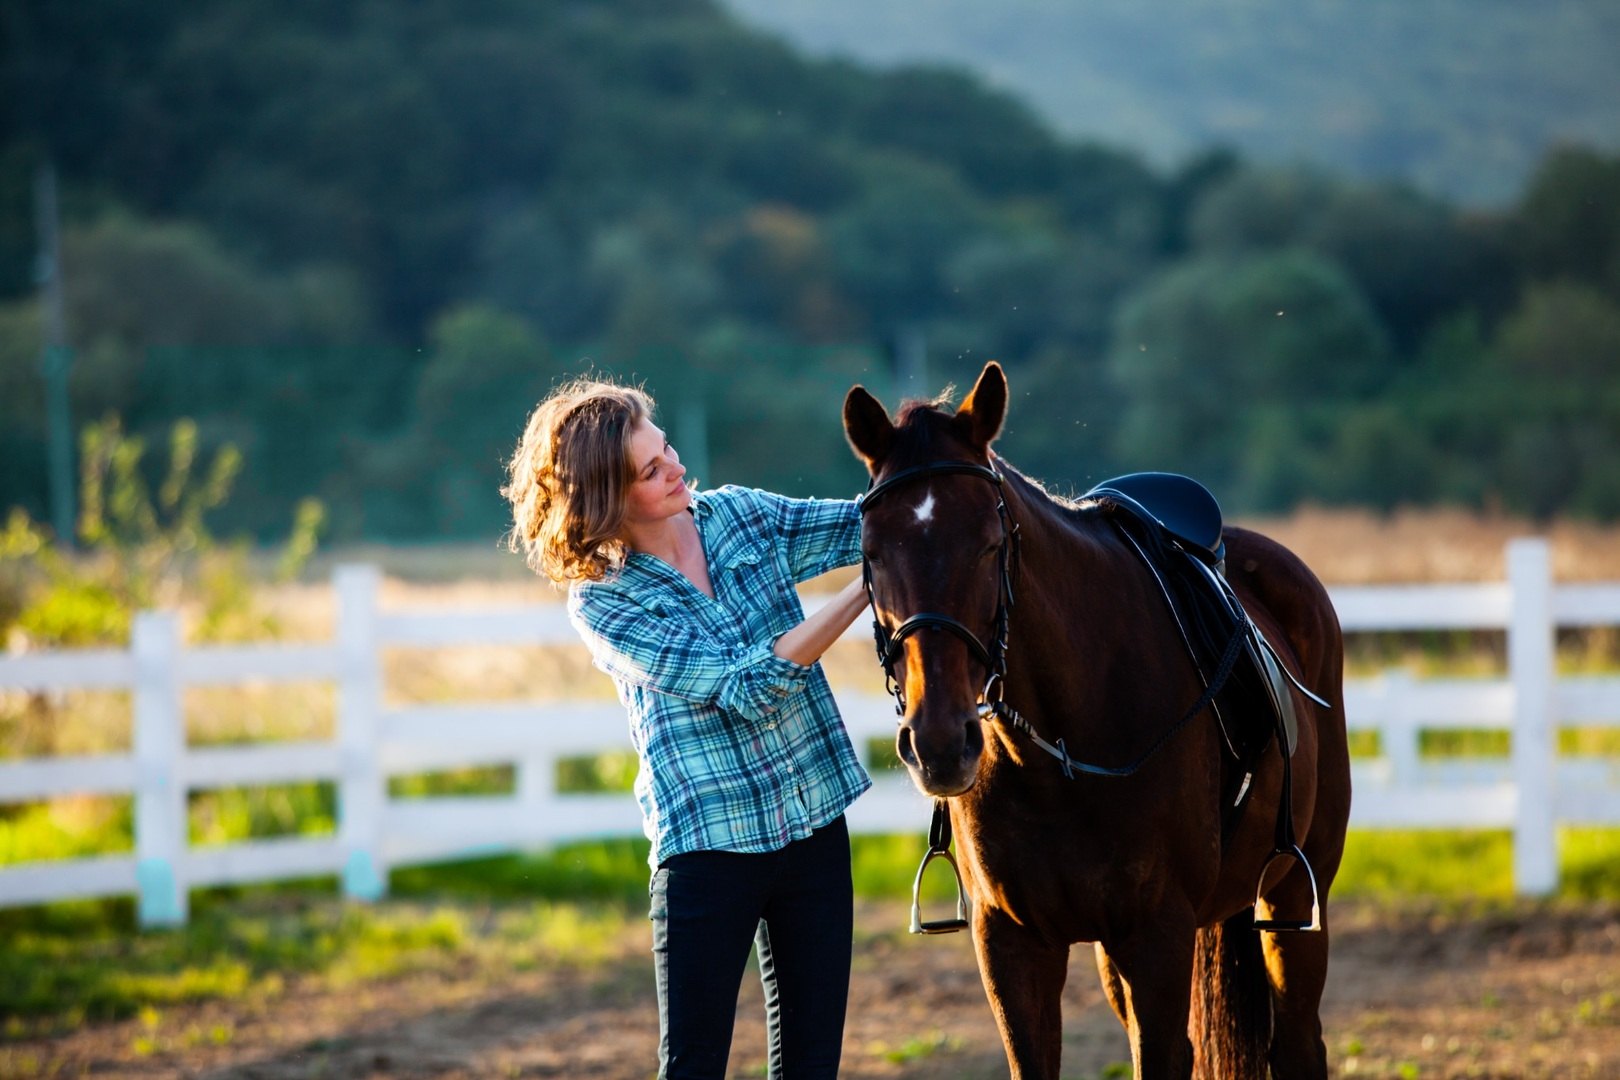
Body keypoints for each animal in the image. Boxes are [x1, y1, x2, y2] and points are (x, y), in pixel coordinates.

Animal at [843, 362, 1351, 1079]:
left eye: (991, 544)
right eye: (872, 552)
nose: (940, 743)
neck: (1058, 755)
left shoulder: (1157, 935)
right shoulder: (1012, 944)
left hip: (1295, 898)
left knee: (1300, 1042)